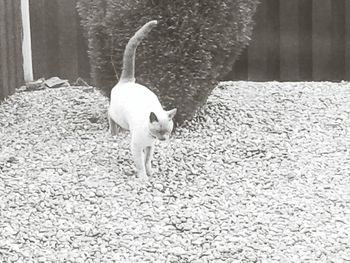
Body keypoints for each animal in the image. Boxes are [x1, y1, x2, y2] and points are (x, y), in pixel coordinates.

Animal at [108, 21, 176, 182]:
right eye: (159, 131)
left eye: (167, 131)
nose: (163, 139)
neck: (150, 137)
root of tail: (128, 81)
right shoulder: (136, 147)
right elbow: (140, 164)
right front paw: (144, 178)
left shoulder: (151, 147)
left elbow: (147, 160)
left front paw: (150, 172)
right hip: (119, 118)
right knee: (109, 115)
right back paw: (113, 133)